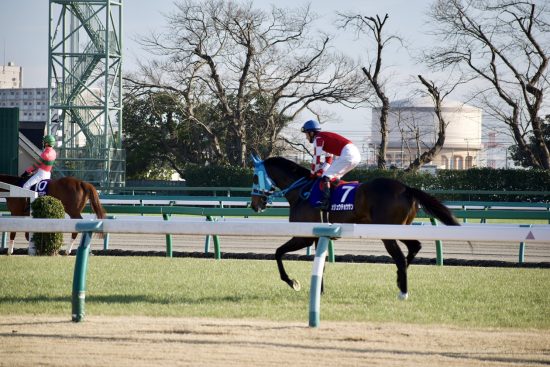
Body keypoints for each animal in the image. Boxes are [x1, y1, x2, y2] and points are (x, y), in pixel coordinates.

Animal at [251, 157, 462, 300]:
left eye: (254, 177)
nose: (254, 205)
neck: (302, 191)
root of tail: (407, 188)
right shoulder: (319, 236)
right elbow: (320, 264)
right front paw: (319, 291)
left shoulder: (304, 236)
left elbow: (278, 253)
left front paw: (292, 282)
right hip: (401, 228)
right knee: (414, 247)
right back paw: (399, 280)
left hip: (387, 232)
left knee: (401, 257)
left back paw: (403, 291)